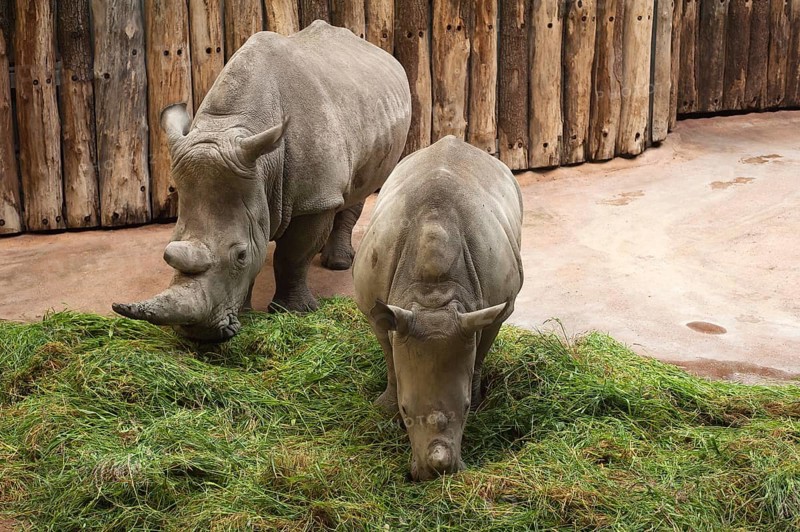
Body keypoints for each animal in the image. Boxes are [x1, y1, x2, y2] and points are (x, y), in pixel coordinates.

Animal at [112, 21, 411, 341]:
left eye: (240, 255)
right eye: (168, 250)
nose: (200, 334)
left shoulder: (314, 199)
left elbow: (292, 256)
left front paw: (293, 313)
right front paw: (245, 312)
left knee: (358, 190)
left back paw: (338, 264)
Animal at [353, 136, 524, 480]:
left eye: (467, 407)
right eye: (405, 410)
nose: (438, 473)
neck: (432, 300)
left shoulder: (495, 310)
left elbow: (480, 351)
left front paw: (481, 399)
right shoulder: (377, 310)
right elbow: (390, 358)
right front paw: (384, 408)